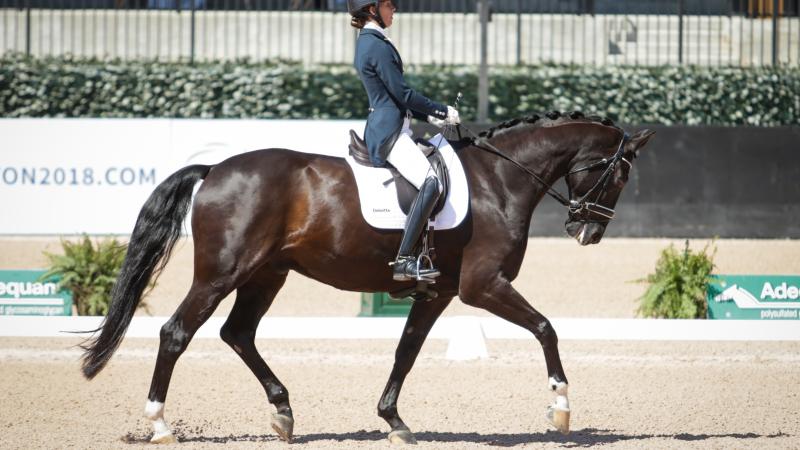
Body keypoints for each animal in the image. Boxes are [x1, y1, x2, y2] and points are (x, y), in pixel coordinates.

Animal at [81, 110, 656, 444]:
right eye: (619, 174)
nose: (587, 232)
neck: (500, 180)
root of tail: (215, 169)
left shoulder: (438, 292)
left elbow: (407, 351)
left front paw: (394, 421)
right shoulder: (482, 286)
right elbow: (545, 328)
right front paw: (560, 409)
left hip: (266, 274)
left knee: (237, 333)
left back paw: (283, 414)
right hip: (221, 273)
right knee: (177, 333)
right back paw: (160, 425)